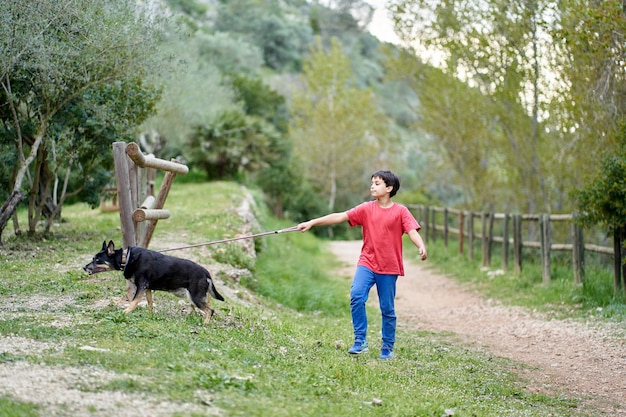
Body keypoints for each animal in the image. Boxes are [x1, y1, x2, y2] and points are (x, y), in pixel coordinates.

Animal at [84, 239, 223, 324]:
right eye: (93, 258)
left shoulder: (141, 286)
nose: (84, 267)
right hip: (193, 296)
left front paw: (125, 312)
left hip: (196, 296)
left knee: (210, 310)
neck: (126, 258)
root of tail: (206, 273)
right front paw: (150, 315)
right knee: (198, 308)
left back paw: (205, 324)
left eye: (97, 260)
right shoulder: (148, 288)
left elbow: (133, 302)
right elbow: (150, 303)